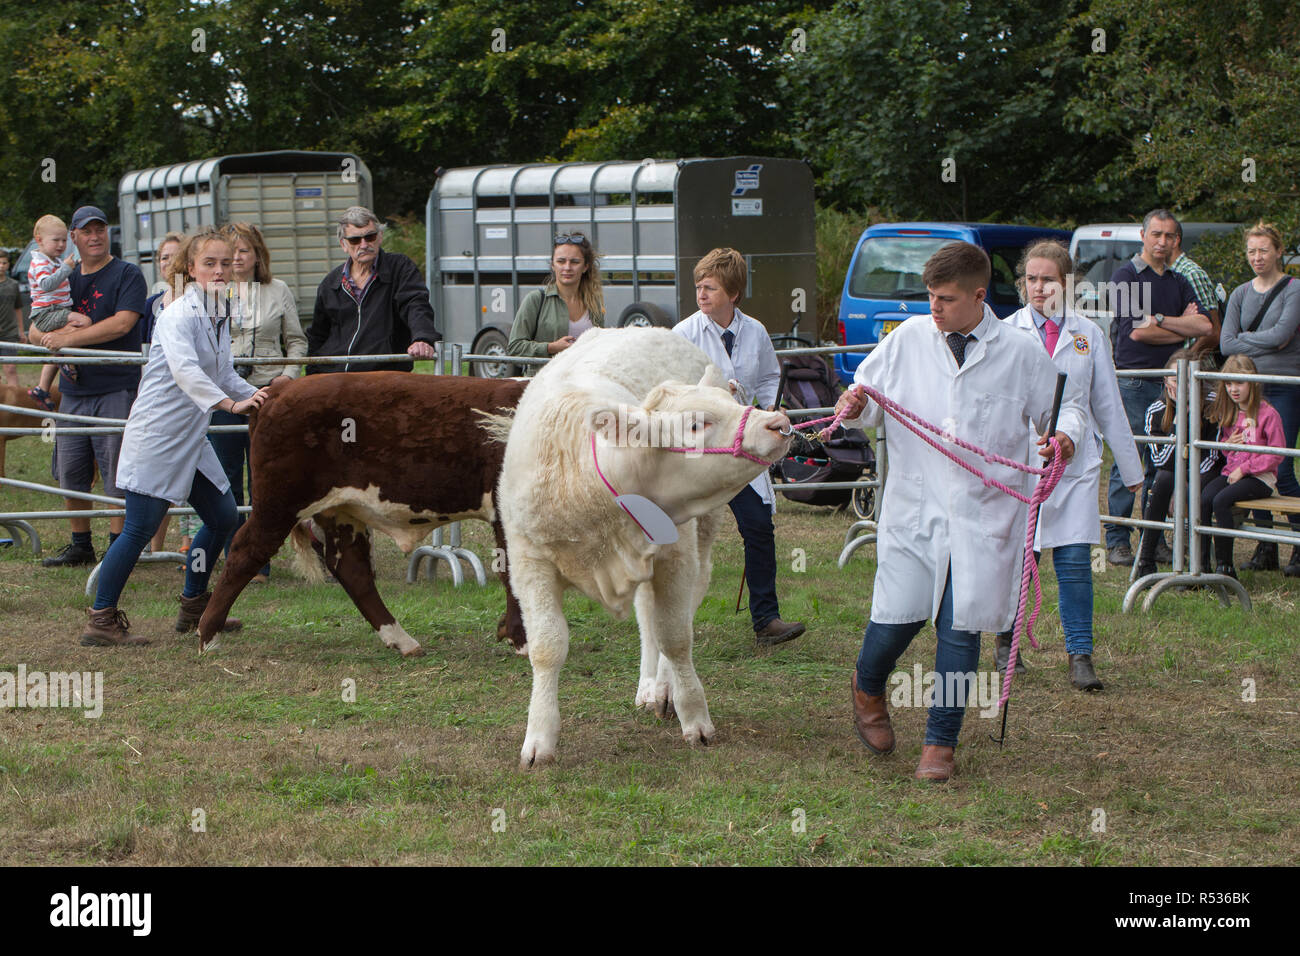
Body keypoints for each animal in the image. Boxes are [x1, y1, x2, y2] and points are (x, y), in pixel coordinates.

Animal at [195, 371, 525, 658]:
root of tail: (282, 388)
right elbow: (512, 573)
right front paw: (520, 639)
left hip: (339, 510)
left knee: (351, 568)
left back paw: (401, 639)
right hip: (279, 503)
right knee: (245, 551)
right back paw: (209, 635)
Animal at [491, 329, 790, 770]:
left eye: (732, 403)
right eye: (696, 424)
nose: (779, 422)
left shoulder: (675, 555)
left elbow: (675, 637)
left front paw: (694, 715)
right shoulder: (529, 563)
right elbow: (547, 647)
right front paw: (539, 737)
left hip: (701, 534)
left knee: (672, 610)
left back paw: (662, 688)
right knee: (646, 613)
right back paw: (651, 686)